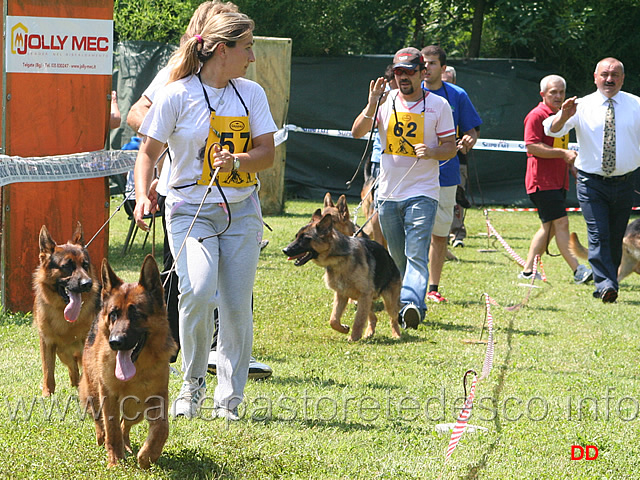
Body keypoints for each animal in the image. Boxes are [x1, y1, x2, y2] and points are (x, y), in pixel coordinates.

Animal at [32, 223, 100, 396]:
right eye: (67, 266)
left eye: (85, 265)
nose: (88, 284)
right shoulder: (47, 342)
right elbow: (48, 370)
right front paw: (47, 394)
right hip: (63, 353)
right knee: (73, 370)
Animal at [81, 256, 179, 466]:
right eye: (113, 314)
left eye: (136, 314)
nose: (115, 342)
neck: (137, 369)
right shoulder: (108, 396)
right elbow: (112, 429)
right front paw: (115, 460)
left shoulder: (158, 398)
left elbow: (162, 428)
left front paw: (147, 456)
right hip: (93, 392)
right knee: (101, 420)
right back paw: (103, 438)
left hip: (136, 411)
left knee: (125, 425)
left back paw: (127, 445)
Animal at [284, 212, 400, 340]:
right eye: (296, 237)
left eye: (305, 239)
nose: (285, 250)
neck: (339, 260)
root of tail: (390, 258)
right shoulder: (341, 294)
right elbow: (333, 320)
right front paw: (344, 329)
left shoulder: (363, 294)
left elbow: (358, 320)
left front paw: (354, 338)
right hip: (365, 300)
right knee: (373, 317)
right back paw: (369, 332)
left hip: (387, 301)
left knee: (393, 317)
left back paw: (396, 334)